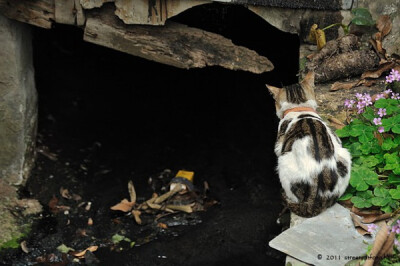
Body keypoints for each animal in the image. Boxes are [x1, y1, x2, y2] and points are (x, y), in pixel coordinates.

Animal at [268, 71, 350, 217]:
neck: (299, 107)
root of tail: (316, 200)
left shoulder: (278, 145)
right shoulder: (335, 138)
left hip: (283, 163)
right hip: (345, 157)